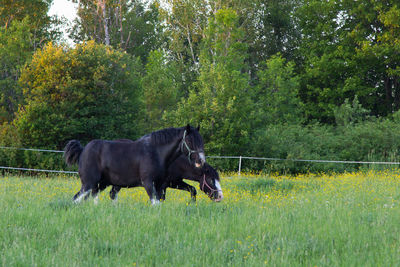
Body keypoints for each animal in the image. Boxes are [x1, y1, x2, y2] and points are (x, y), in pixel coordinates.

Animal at [65, 125, 222, 205]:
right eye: (189, 141)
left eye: (201, 140)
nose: (201, 160)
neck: (156, 152)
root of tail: (82, 150)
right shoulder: (150, 183)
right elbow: (156, 203)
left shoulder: (160, 185)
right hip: (89, 184)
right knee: (76, 199)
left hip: (100, 185)